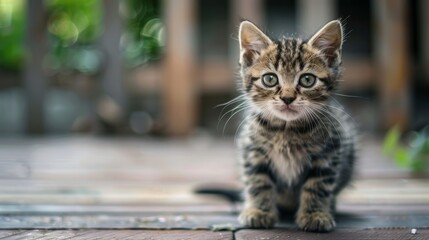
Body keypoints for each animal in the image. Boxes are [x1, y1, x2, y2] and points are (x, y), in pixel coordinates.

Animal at [237, 21, 354, 232]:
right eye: (270, 79)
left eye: (307, 80)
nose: (287, 98)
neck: (287, 130)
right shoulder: (252, 149)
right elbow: (258, 181)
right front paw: (259, 211)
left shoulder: (328, 153)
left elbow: (317, 186)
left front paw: (315, 214)